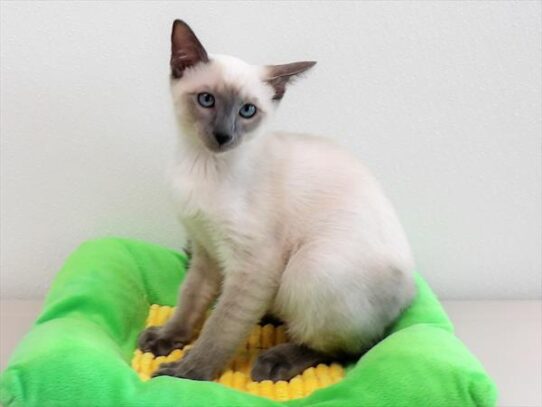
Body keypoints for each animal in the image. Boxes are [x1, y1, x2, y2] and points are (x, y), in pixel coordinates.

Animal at [139, 19, 416, 382]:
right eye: (206, 100)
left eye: (247, 111)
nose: (224, 136)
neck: (203, 165)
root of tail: (412, 292)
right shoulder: (204, 249)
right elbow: (190, 300)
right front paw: (167, 338)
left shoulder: (255, 264)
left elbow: (221, 327)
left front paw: (187, 372)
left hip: (308, 268)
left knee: (349, 348)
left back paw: (276, 361)